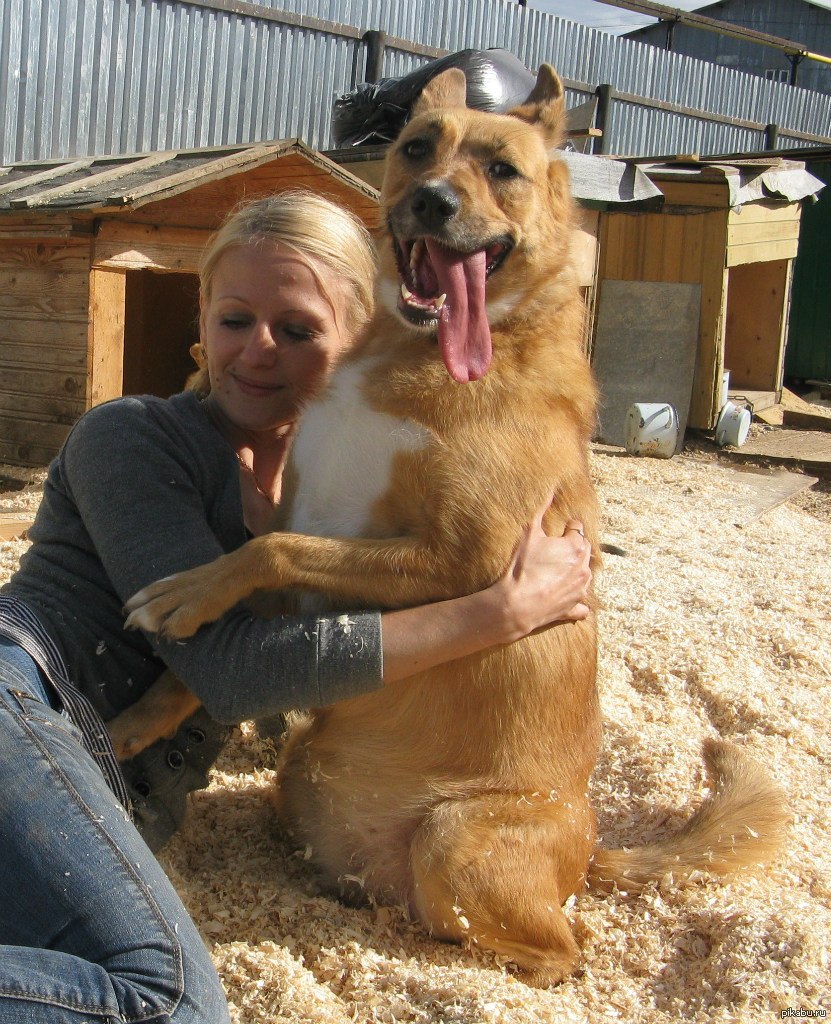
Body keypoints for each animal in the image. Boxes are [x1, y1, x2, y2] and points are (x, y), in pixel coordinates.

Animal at [115, 66, 785, 983]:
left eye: (501, 168)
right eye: (415, 148)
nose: (430, 201)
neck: (412, 351)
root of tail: (588, 859)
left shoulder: (473, 557)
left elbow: (273, 549)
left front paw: (182, 594)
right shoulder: (318, 533)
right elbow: (243, 595)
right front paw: (139, 716)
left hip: (455, 834)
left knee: (557, 953)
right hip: (301, 774)